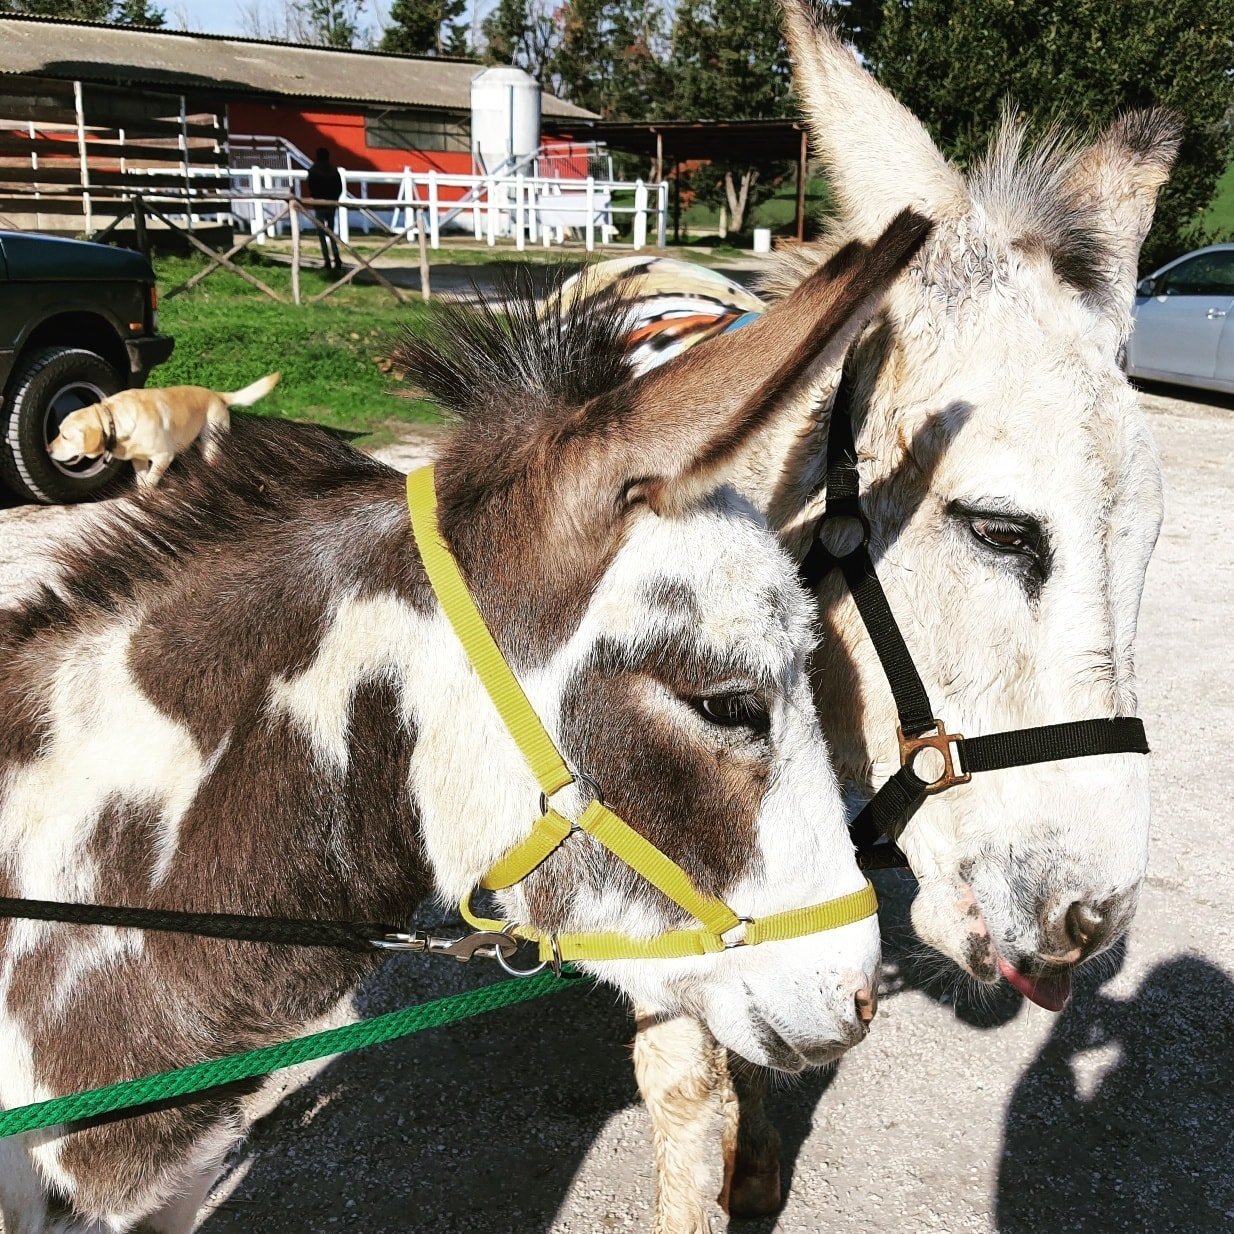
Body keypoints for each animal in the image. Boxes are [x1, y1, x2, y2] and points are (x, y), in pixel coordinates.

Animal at [48, 370, 280, 486]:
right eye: (58, 431)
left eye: (65, 436)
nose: (48, 450)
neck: (114, 420)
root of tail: (217, 395)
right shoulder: (138, 460)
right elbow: (142, 482)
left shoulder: (163, 457)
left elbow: (151, 481)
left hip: (211, 441)